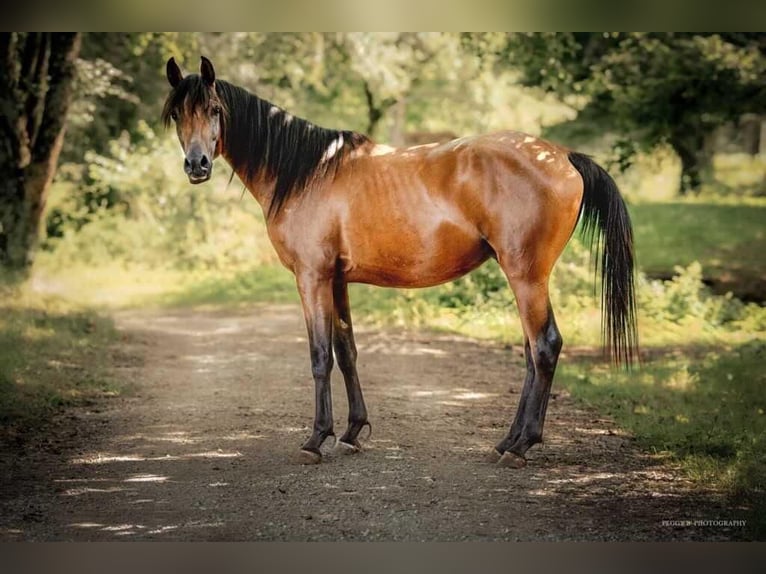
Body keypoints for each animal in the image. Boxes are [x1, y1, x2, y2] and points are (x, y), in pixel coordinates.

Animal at [163, 56, 638, 468]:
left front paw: (316, 438)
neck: (306, 172)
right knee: (530, 354)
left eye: (214, 109)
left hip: (526, 277)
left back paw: (522, 446)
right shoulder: (337, 280)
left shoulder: (312, 277)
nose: (196, 165)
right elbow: (346, 351)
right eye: (177, 114)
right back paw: (507, 441)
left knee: (545, 346)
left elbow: (319, 356)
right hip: (524, 279)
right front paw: (352, 432)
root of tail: (561, 155)